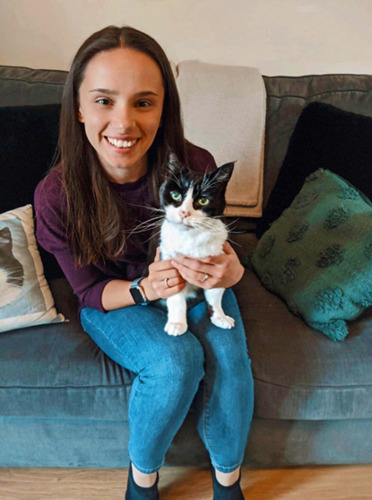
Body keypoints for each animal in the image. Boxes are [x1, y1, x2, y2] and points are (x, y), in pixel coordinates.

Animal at [158, 152, 234, 336]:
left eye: (203, 200)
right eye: (175, 195)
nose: (184, 213)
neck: (190, 237)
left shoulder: (217, 259)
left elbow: (215, 292)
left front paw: (219, 316)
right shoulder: (169, 259)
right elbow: (175, 292)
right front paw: (177, 323)